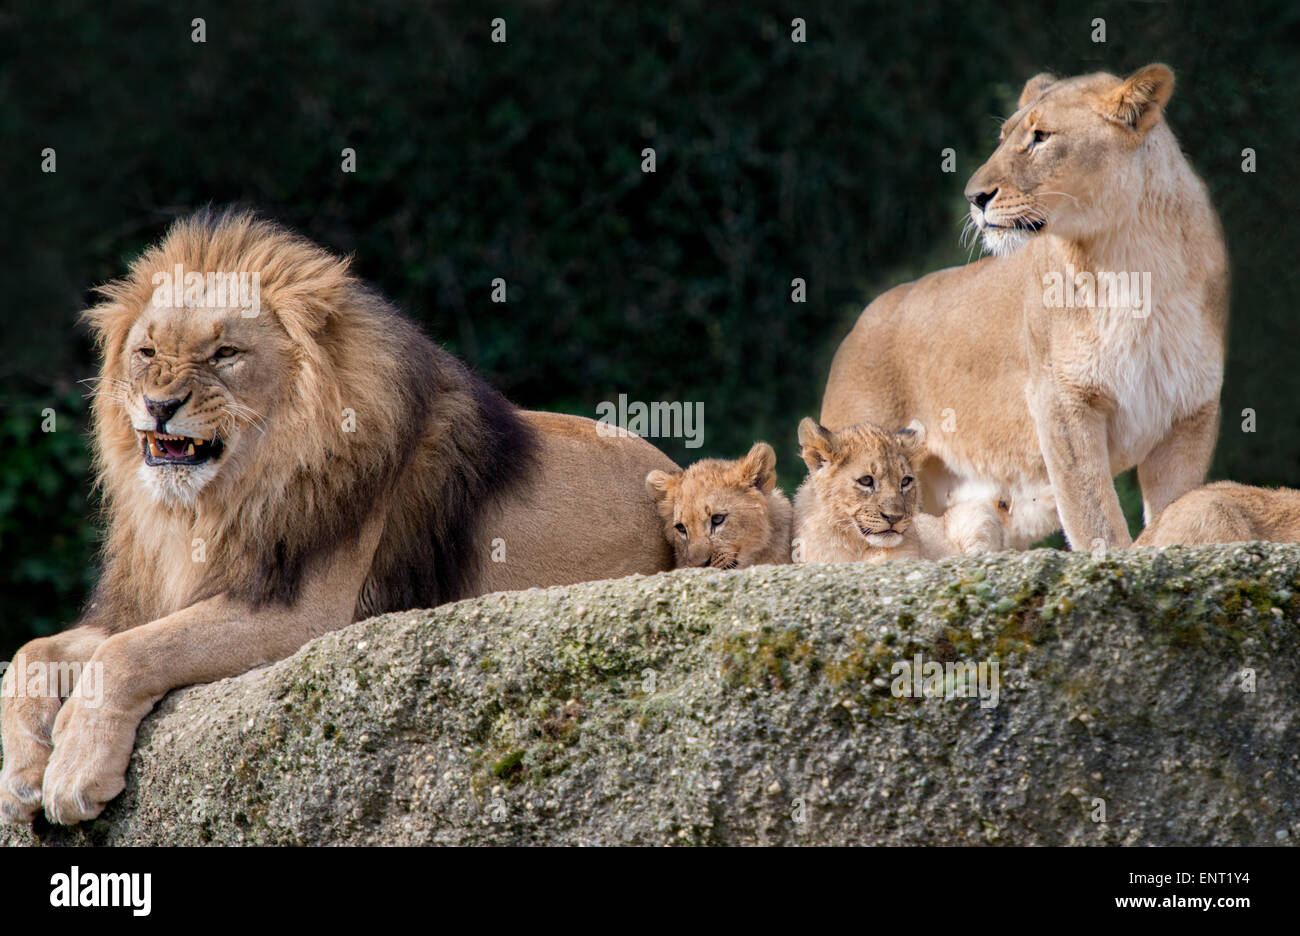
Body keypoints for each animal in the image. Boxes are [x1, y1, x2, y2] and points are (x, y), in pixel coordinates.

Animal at [5, 208, 681, 821]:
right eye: (146, 351)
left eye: (225, 353)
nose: (159, 405)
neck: (211, 507)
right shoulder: (153, 599)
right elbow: (33, 654)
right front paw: (22, 774)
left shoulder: (305, 614)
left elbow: (129, 653)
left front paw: (73, 770)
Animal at [821, 65, 1227, 551]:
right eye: (1004, 137)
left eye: (1040, 137)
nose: (974, 197)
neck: (1131, 261)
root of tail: (860, 321)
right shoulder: (1061, 401)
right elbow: (1097, 519)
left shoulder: (1189, 410)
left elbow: (1175, 510)